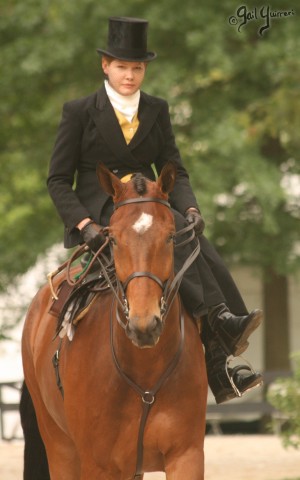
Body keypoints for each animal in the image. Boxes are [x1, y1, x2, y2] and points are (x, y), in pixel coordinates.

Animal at [21, 162, 207, 480]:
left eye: (171, 237)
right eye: (114, 239)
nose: (144, 325)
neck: (145, 369)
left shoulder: (187, 455)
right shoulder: (98, 465)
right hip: (59, 447)